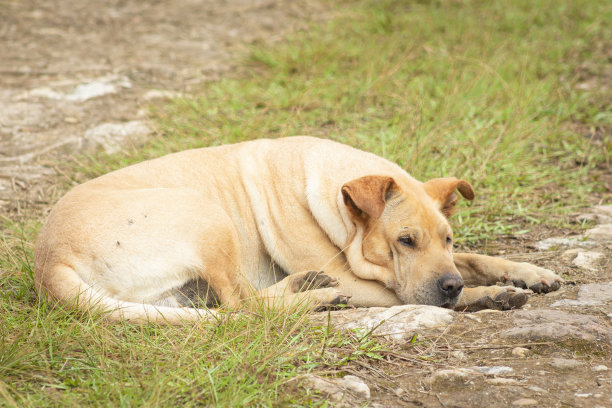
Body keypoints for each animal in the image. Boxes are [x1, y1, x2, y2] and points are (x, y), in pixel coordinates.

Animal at [32, 136, 560, 322]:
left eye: (447, 238)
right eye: (404, 242)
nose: (449, 285)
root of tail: (49, 263)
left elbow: (476, 259)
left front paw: (526, 272)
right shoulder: (368, 281)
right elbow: (419, 295)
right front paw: (486, 295)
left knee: (242, 300)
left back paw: (307, 287)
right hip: (207, 215)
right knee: (244, 307)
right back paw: (318, 295)